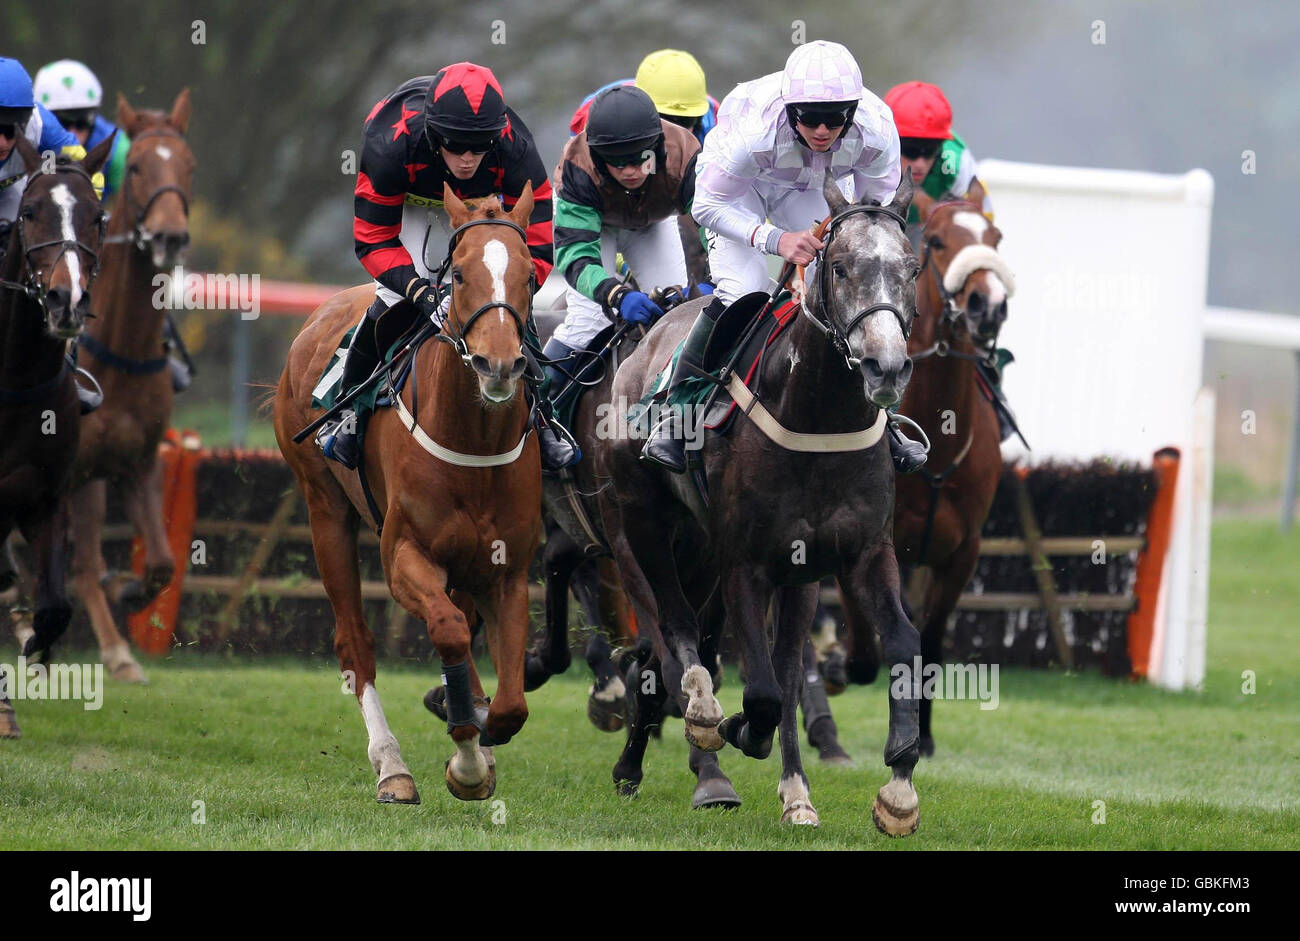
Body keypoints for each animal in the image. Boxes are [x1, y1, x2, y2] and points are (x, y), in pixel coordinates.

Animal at [271, 183, 540, 800]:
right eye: (458, 275)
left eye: (531, 276)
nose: (498, 364)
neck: (472, 441)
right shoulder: (403, 556)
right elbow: (448, 633)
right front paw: (466, 757)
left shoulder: (507, 569)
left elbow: (511, 703)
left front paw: (479, 733)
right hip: (324, 510)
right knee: (355, 641)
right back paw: (391, 766)